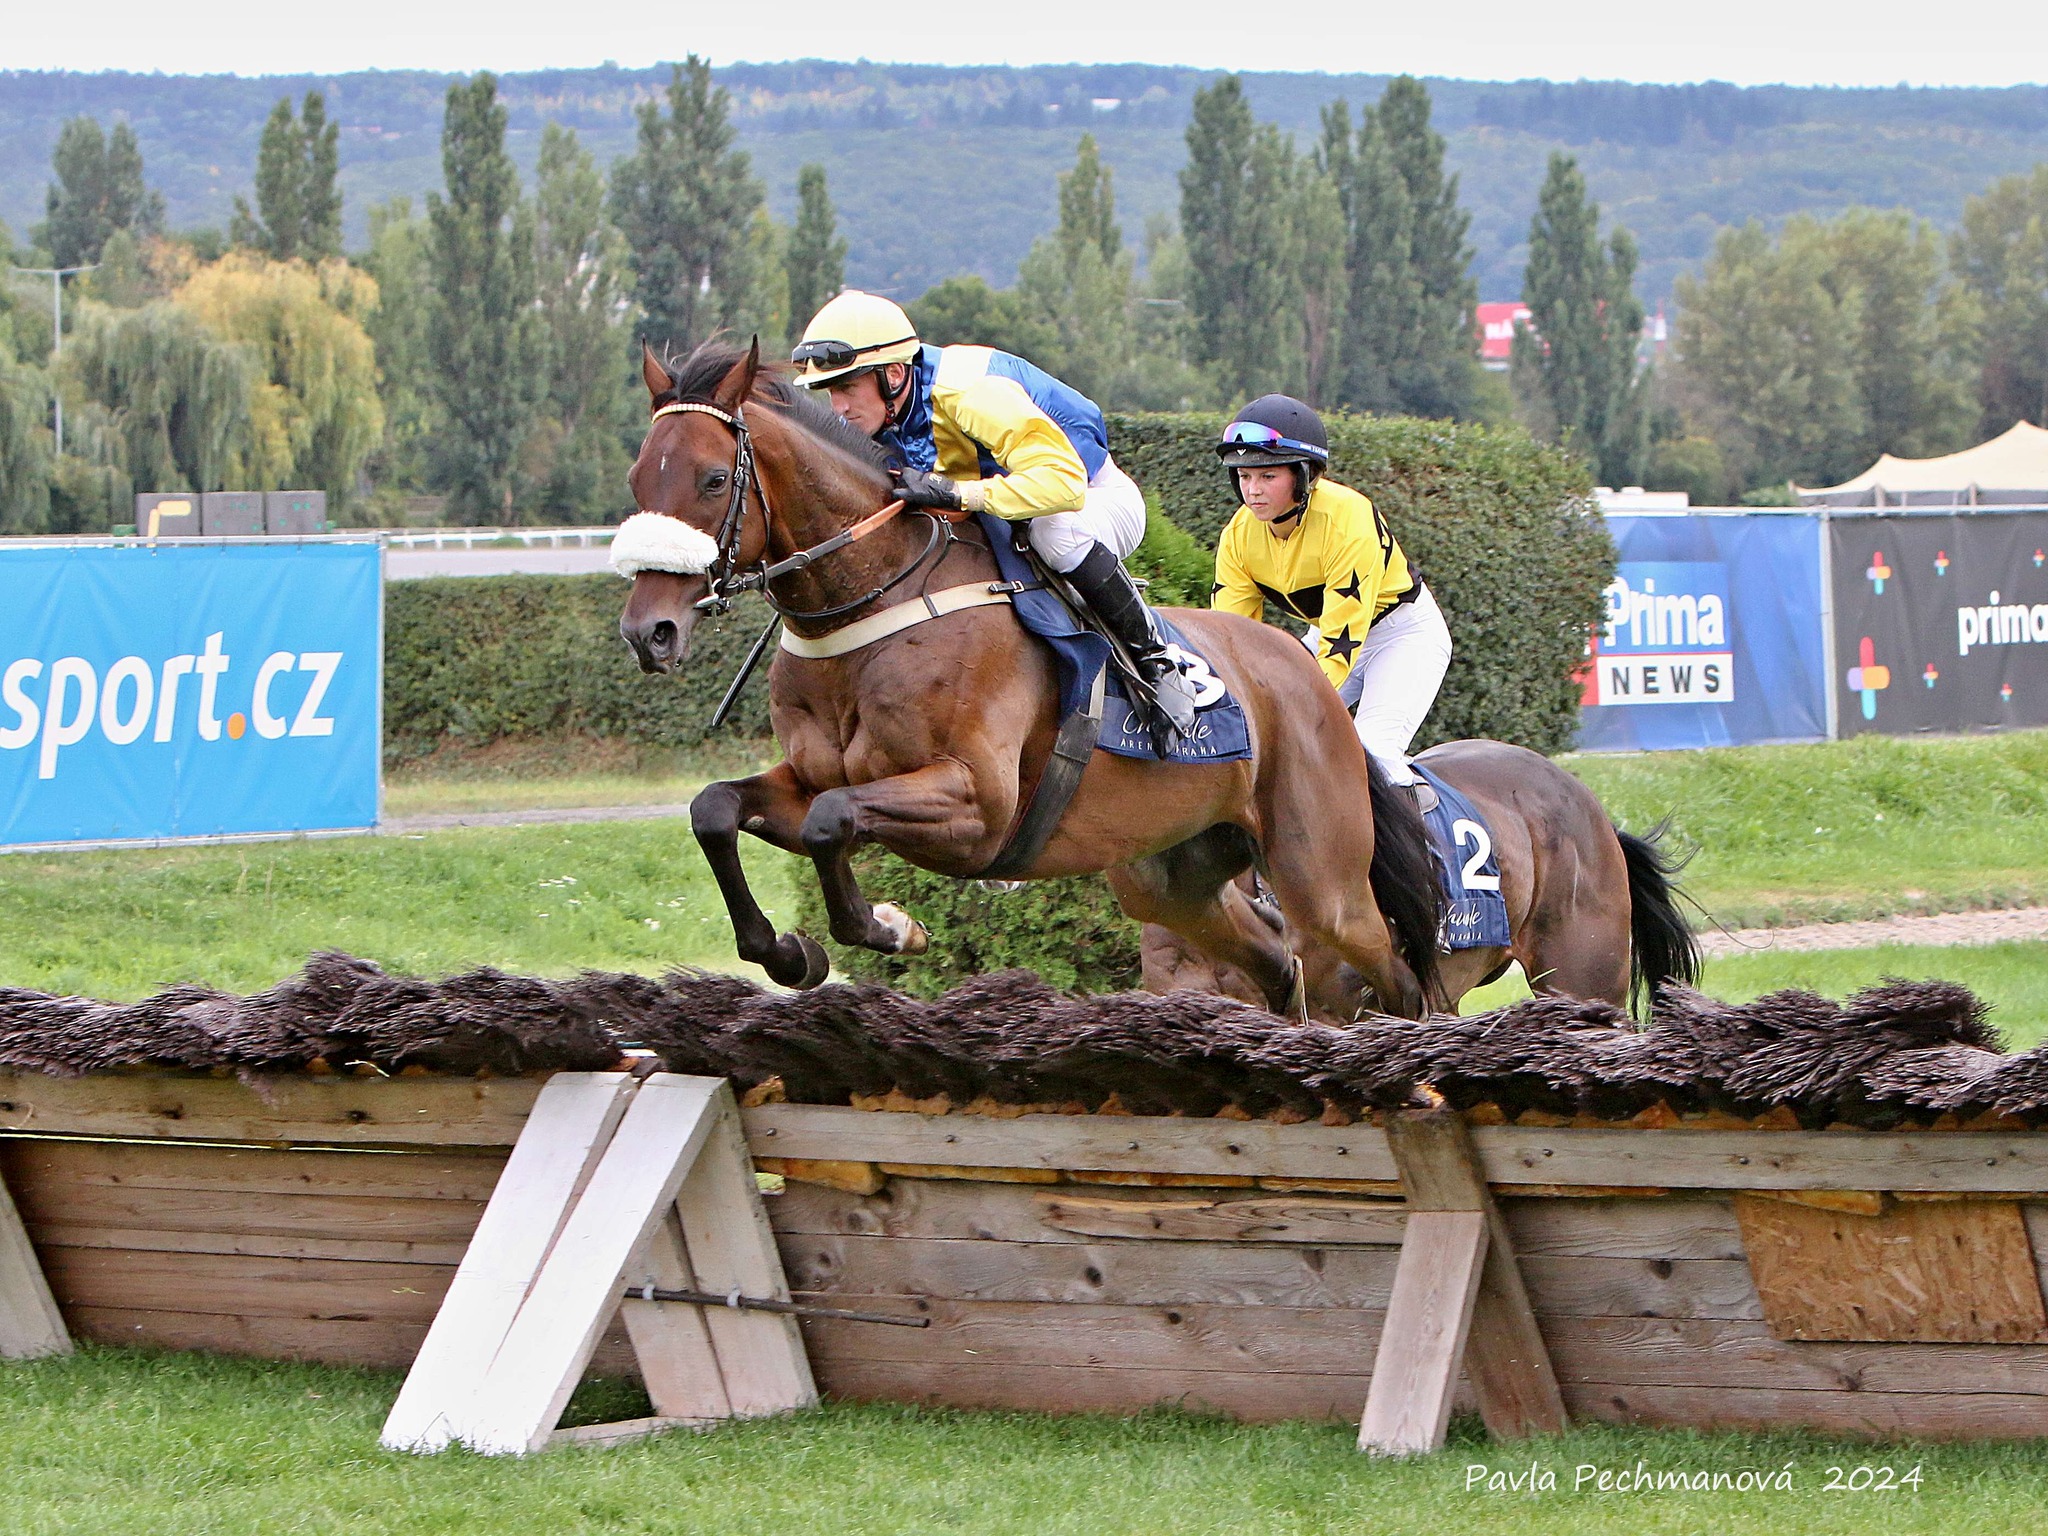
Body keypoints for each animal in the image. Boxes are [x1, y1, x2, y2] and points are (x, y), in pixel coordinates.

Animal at [618, 342, 1695, 1028]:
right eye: (638, 477)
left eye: (710, 480)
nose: (648, 631)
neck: (879, 600)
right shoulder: (810, 775)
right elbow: (723, 810)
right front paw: (792, 951)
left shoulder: (975, 803)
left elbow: (835, 821)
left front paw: (883, 924)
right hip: (1174, 880)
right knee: (1279, 967)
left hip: (1358, 891)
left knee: (1398, 973)